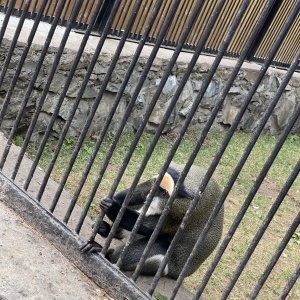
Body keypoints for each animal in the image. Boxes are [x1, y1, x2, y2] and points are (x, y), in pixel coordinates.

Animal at [83, 162, 224, 278]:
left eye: (164, 193)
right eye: (158, 188)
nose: (151, 196)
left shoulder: (185, 214)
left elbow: (149, 227)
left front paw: (112, 208)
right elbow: (139, 192)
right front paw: (116, 200)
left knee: (157, 246)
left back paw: (106, 254)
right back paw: (106, 230)